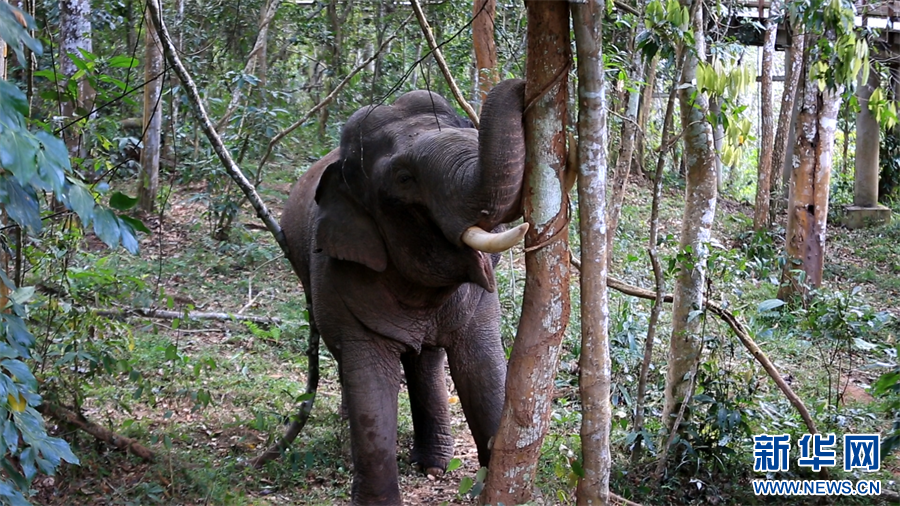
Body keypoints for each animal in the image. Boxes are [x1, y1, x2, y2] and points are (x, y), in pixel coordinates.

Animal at [280, 79, 527, 505]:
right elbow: (369, 380)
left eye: (469, 130)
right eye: (403, 177)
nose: (520, 83)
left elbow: (482, 368)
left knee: (425, 358)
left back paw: (433, 466)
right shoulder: (338, 274)